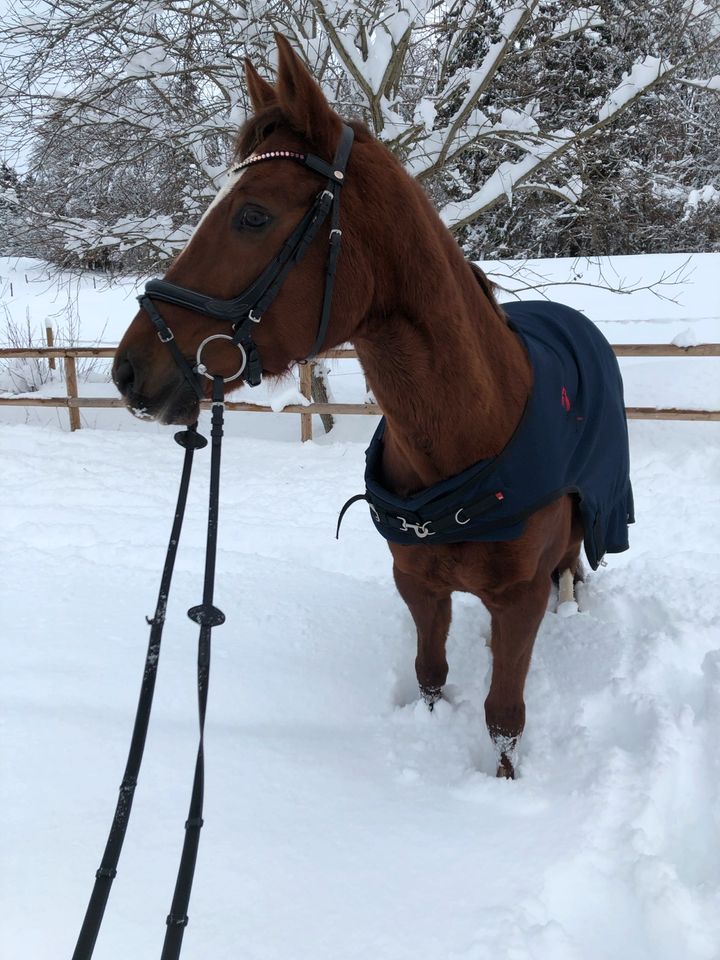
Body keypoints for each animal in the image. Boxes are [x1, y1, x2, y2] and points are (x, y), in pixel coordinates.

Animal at [114, 35, 632, 780]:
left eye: (252, 214)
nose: (128, 370)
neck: (468, 449)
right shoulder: (417, 584)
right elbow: (431, 675)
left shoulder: (520, 600)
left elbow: (504, 716)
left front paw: (504, 787)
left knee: (573, 575)